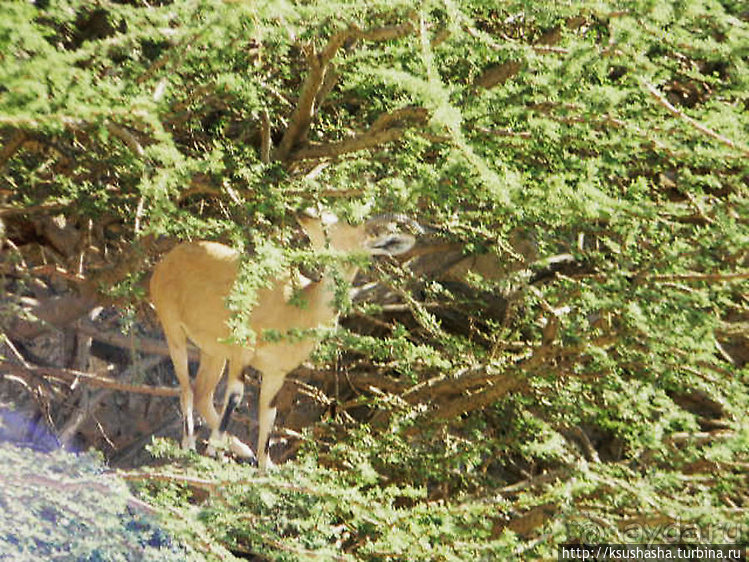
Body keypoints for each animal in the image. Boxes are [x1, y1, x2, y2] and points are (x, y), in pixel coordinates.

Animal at [149, 208, 418, 466]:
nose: (307, 212)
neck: (297, 307)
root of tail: (168, 260)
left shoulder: (276, 373)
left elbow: (268, 418)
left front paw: (264, 466)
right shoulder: (242, 350)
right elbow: (235, 396)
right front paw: (214, 449)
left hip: (213, 352)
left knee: (202, 393)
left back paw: (239, 449)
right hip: (173, 328)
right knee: (186, 389)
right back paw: (190, 445)